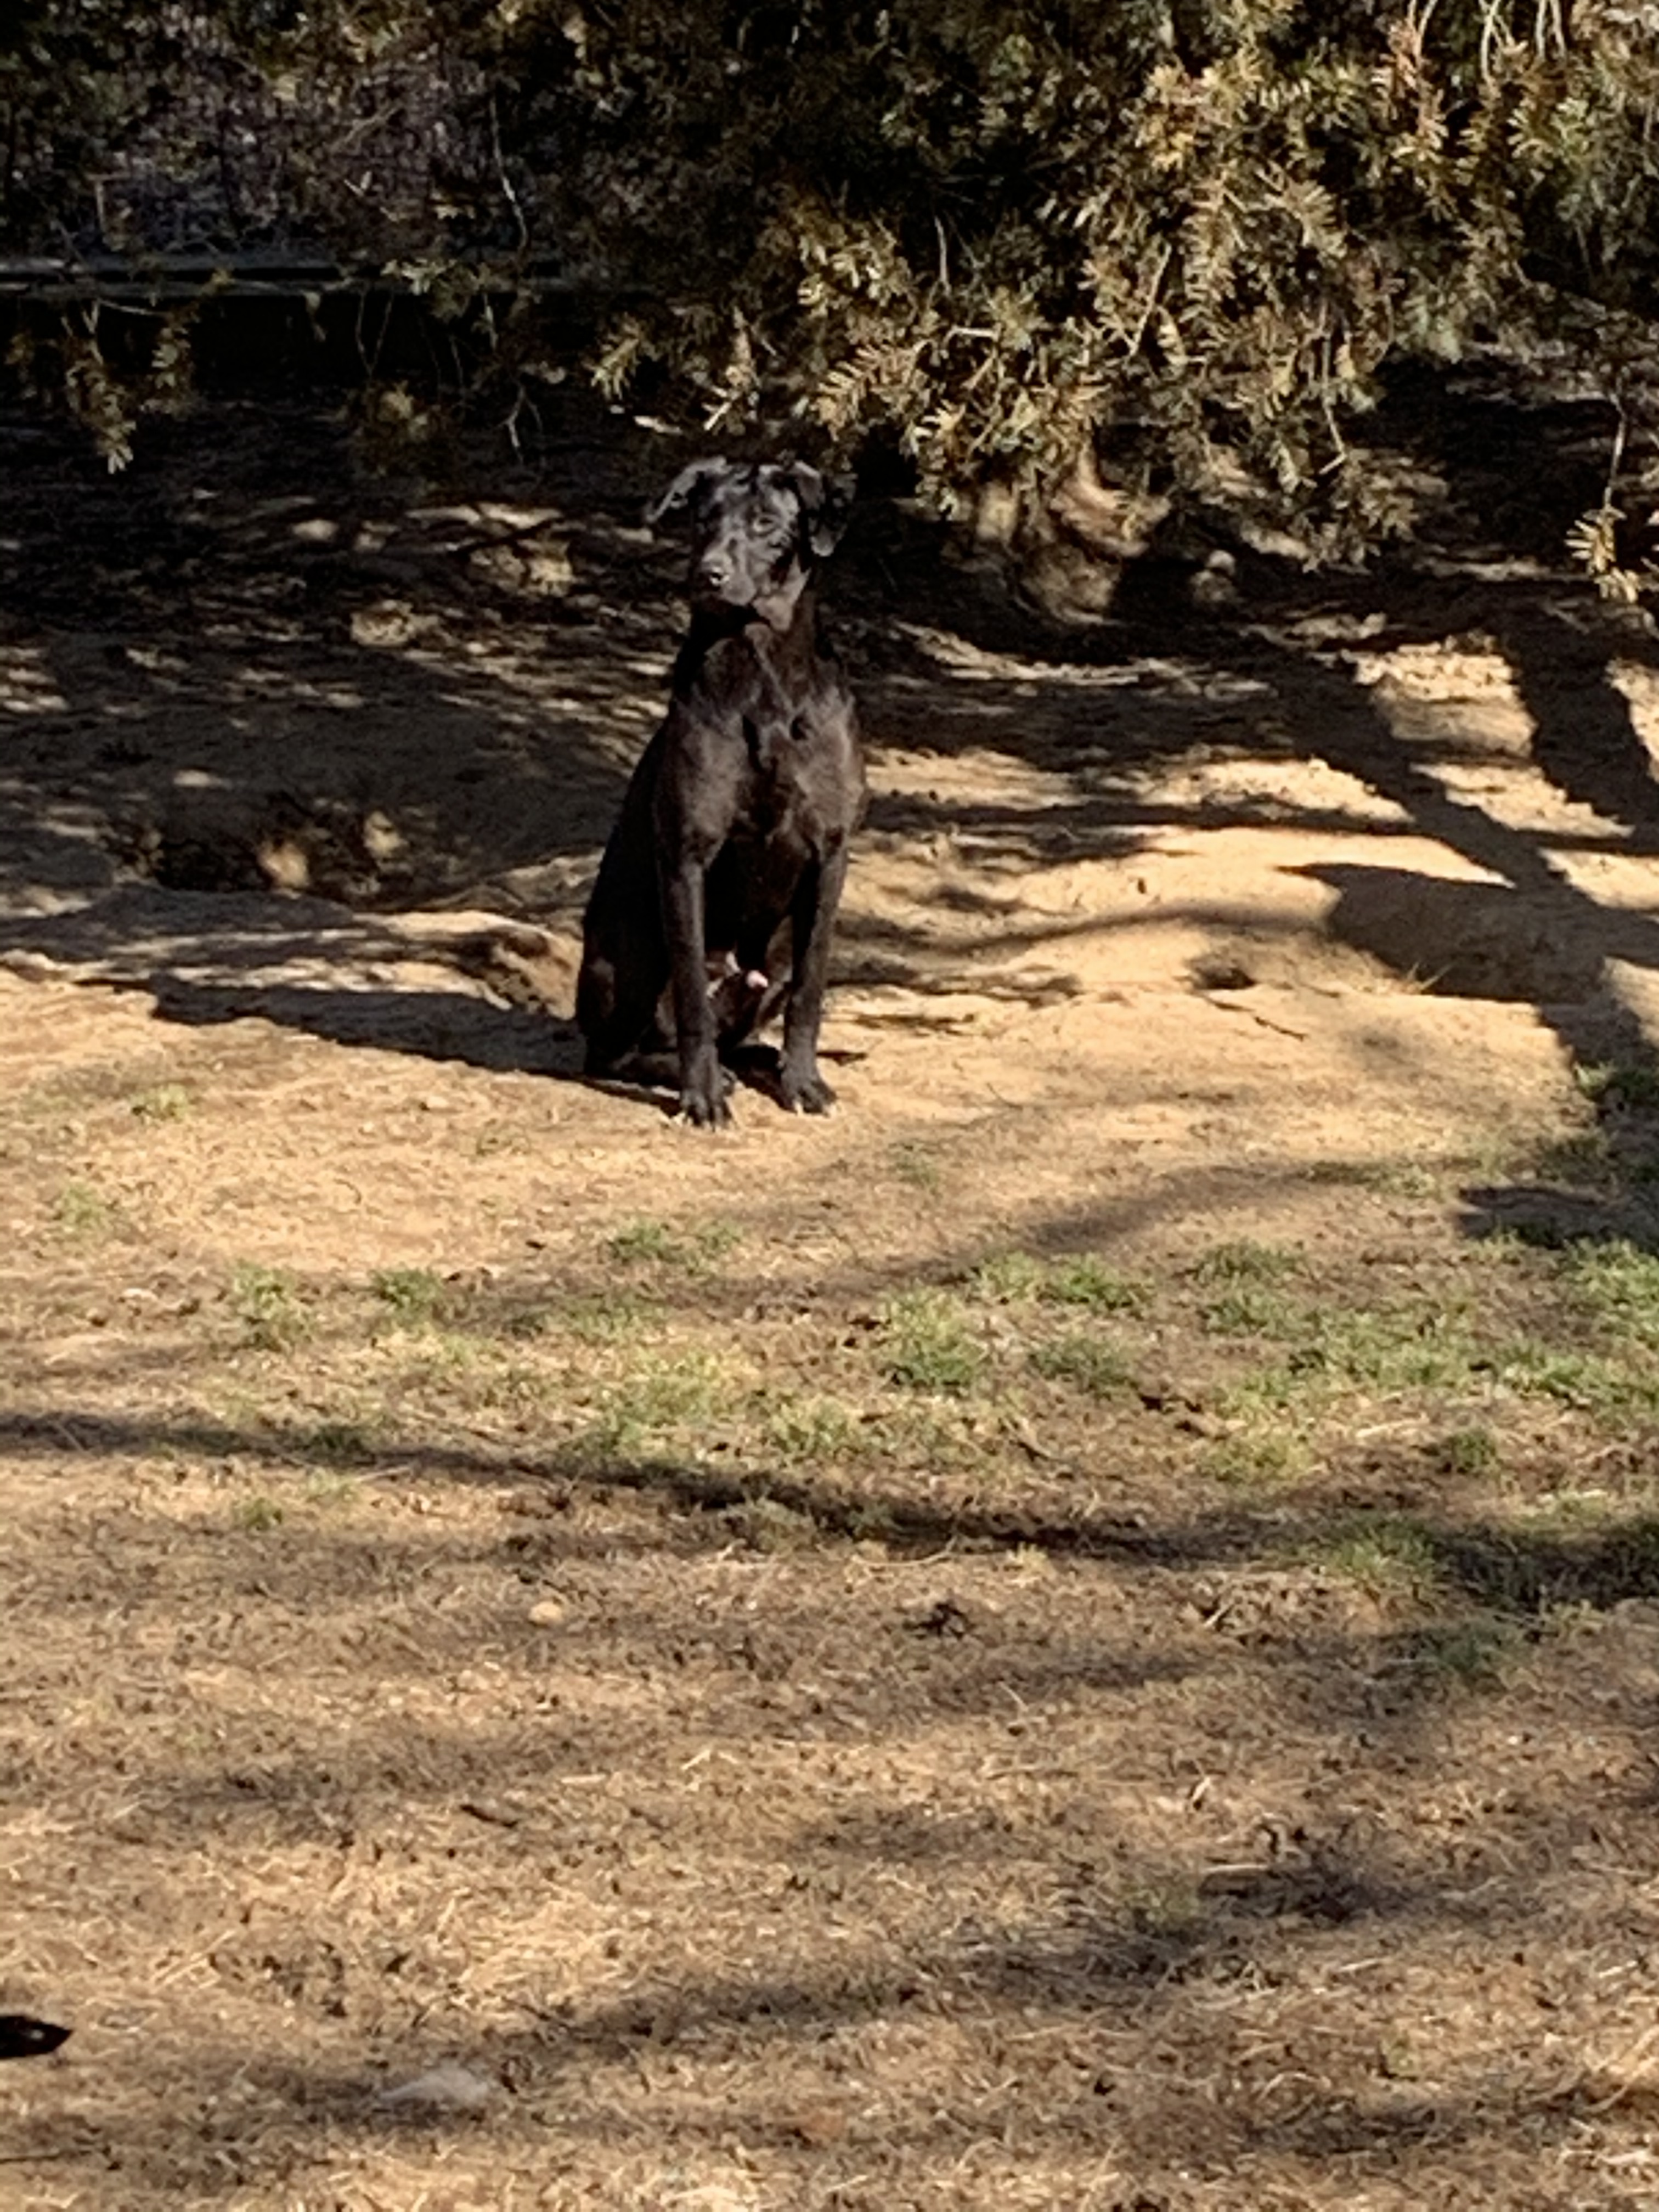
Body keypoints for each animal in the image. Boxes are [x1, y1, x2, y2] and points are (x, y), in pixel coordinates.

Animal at [579, 460, 871, 1132]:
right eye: (703, 518)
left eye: (766, 523)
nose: (707, 573)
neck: (761, 673)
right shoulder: (688, 853)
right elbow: (691, 995)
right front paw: (702, 1096)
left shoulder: (831, 852)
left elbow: (811, 990)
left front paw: (803, 1082)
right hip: (630, 944)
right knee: (614, 1051)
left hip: (778, 946)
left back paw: (764, 1061)